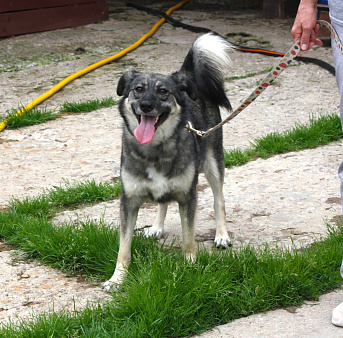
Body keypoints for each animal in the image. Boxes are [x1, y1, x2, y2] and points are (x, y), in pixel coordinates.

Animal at [103, 32, 235, 290]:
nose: (146, 106)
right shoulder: (129, 200)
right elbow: (124, 246)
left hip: (213, 162)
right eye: (138, 89)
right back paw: (156, 227)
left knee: (219, 199)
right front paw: (117, 278)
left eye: (163, 91)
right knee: (163, 202)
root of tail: (188, 77)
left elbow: (189, 238)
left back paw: (222, 235)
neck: (155, 148)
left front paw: (190, 266)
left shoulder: (188, 196)